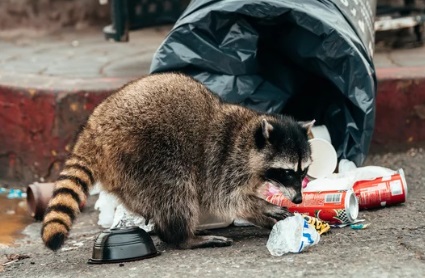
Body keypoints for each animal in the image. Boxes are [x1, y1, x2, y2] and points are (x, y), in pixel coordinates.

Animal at [41, 71, 312, 250]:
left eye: (303, 171)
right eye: (288, 172)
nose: (299, 199)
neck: (248, 135)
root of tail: (94, 129)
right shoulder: (222, 161)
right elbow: (227, 199)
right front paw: (261, 208)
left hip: (125, 171)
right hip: (146, 153)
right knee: (175, 191)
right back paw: (183, 237)